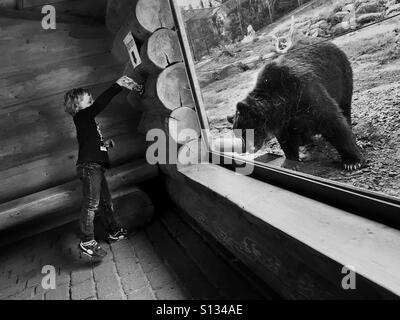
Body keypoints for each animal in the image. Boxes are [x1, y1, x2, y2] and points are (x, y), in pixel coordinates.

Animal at [228, 39, 362, 170]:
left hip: (342, 77)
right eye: (237, 133)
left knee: (344, 106)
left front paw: (352, 162)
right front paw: (290, 162)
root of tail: (328, 42)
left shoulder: (306, 92)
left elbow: (333, 123)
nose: (244, 149)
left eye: (244, 131)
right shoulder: (284, 121)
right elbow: (287, 140)